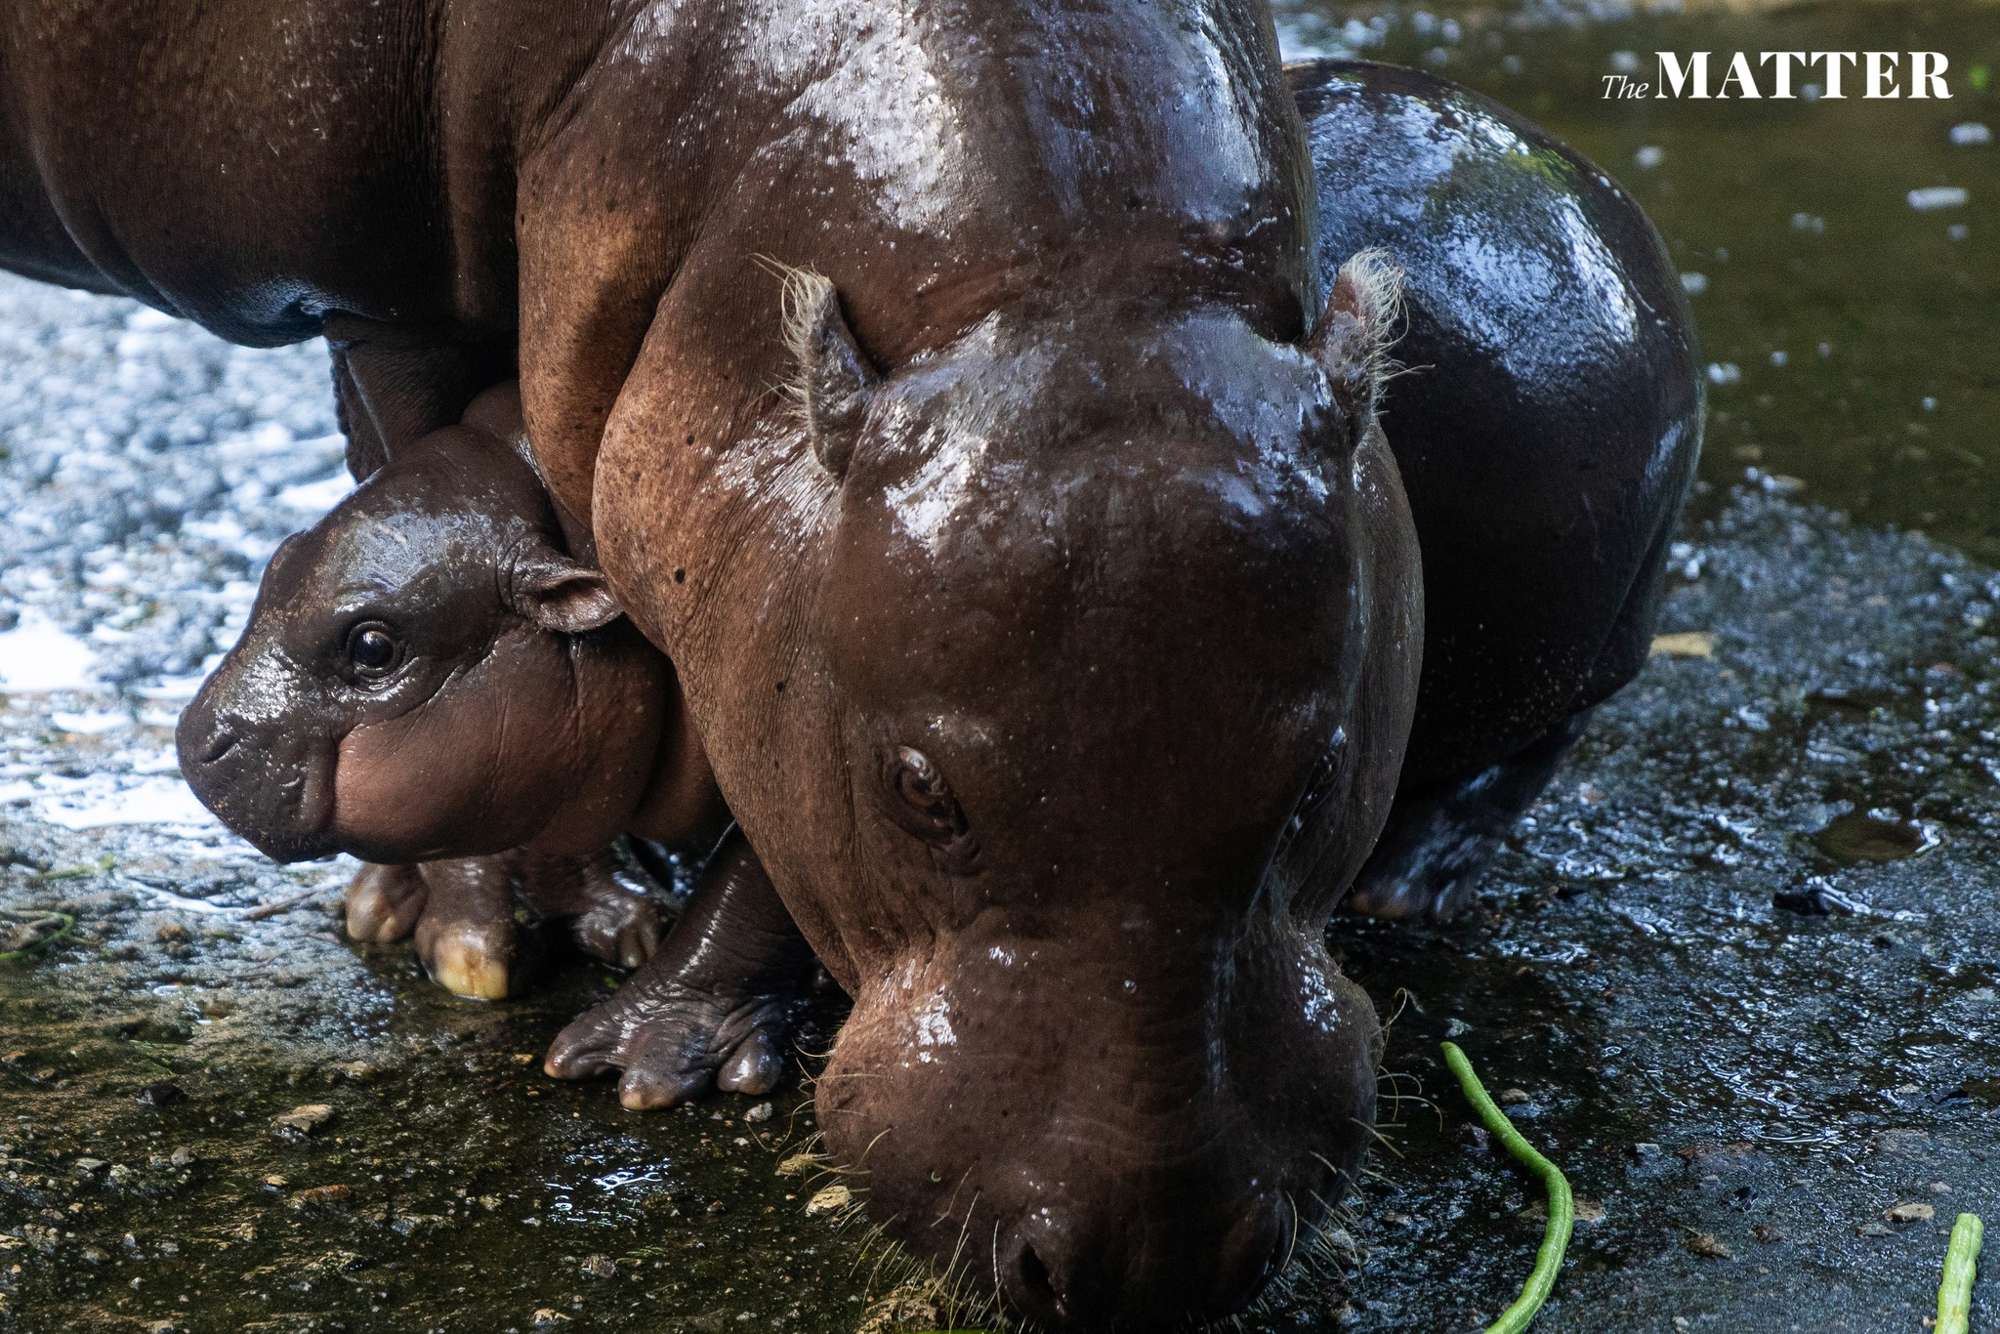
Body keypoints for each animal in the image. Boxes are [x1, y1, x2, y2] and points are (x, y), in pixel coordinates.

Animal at [0, 0, 1704, 1328]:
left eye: (1318, 780)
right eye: (921, 791)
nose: (1142, 1260)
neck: (1056, 297)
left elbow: (755, 792)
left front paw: (648, 1047)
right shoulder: (399, 297)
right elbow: (419, 485)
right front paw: (474, 932)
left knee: (1546, 734)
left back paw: (1419, 878)